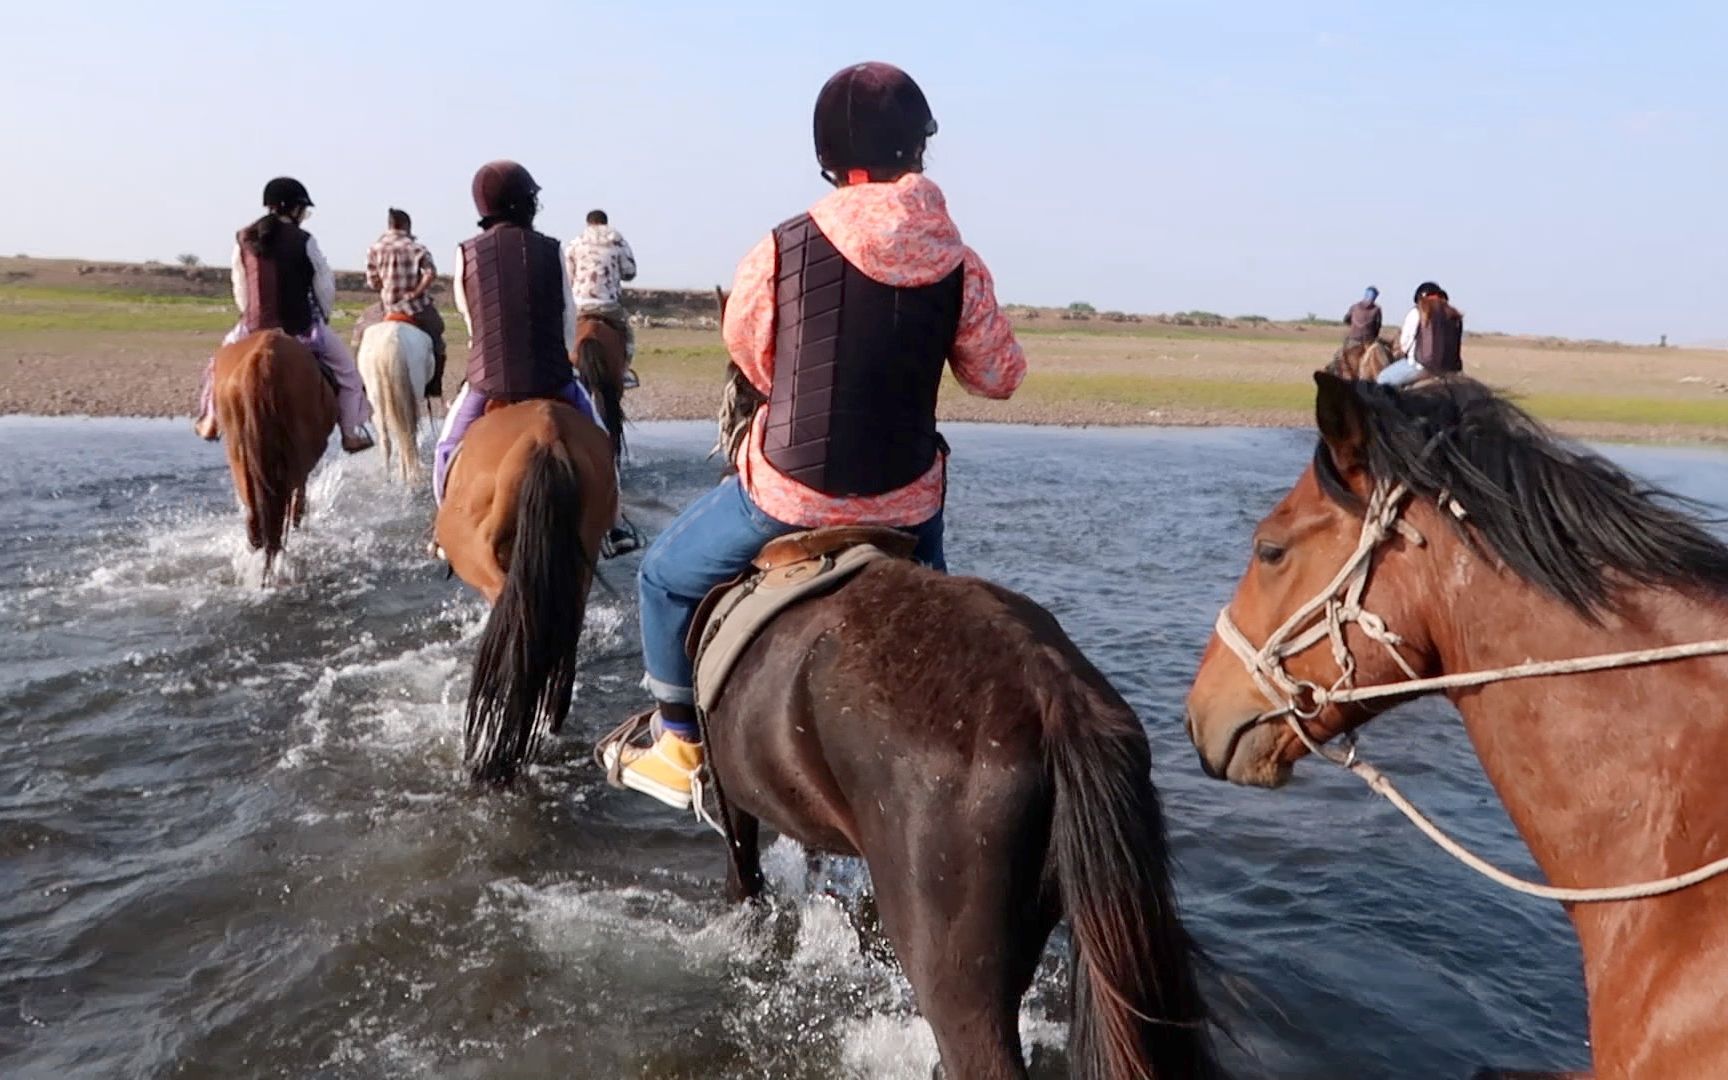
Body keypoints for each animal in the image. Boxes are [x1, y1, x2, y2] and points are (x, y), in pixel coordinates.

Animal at [355, 317, 435, 483]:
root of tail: (392, 341)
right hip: (412, 393)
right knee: (407, 434)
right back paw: (407, 476)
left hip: (376, 397)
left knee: (389, 439)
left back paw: (389, 479)